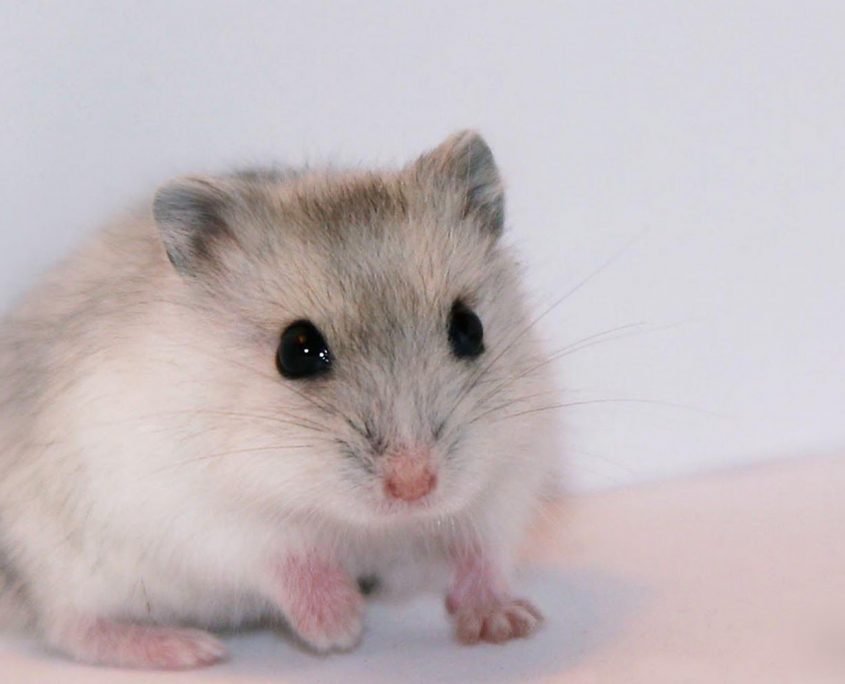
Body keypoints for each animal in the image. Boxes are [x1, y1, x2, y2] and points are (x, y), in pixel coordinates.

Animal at [0, 131, 558, 669]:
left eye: (469, 328)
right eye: (296, 351)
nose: (414, 486)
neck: (357, 521)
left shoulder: (508, 476)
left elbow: (481, 550)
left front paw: (508, 623)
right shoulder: (201, 514)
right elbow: (283, 555)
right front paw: (341, 626)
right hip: (63, 561)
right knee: (72, 626)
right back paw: (189, 649)